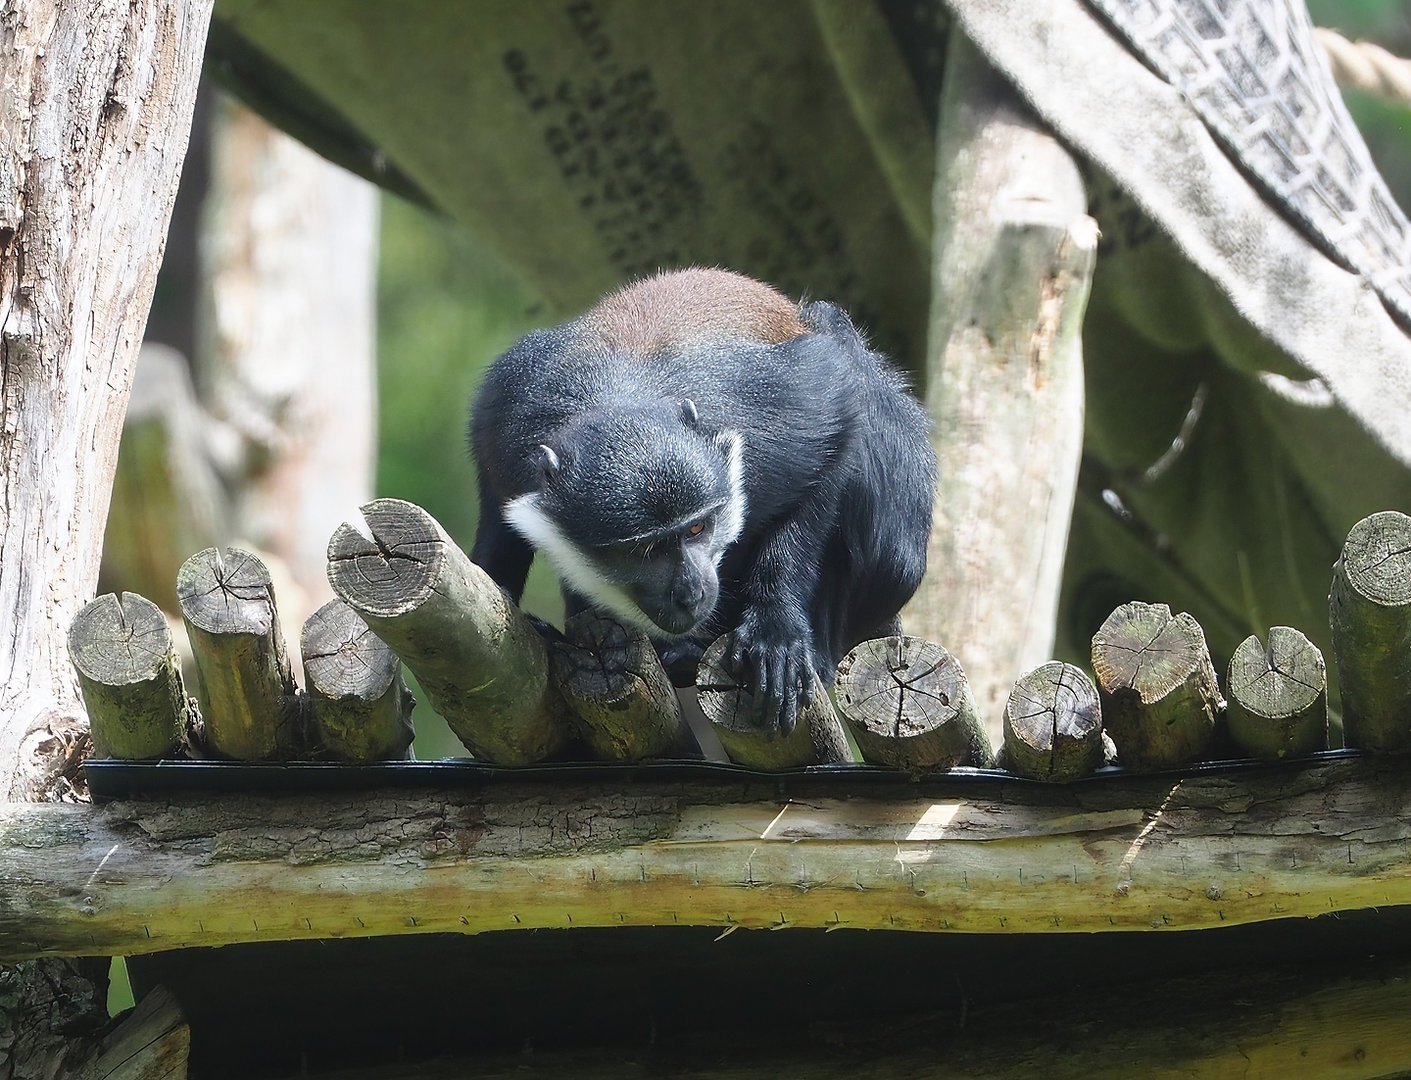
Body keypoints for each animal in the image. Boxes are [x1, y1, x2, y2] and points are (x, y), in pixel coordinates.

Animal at [469, 268, 936, 734]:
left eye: (696, 528)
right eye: (643, 550)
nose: (692, 593)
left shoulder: (785, 415)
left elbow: (836, 432)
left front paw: (775, 629)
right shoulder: (502, 421)